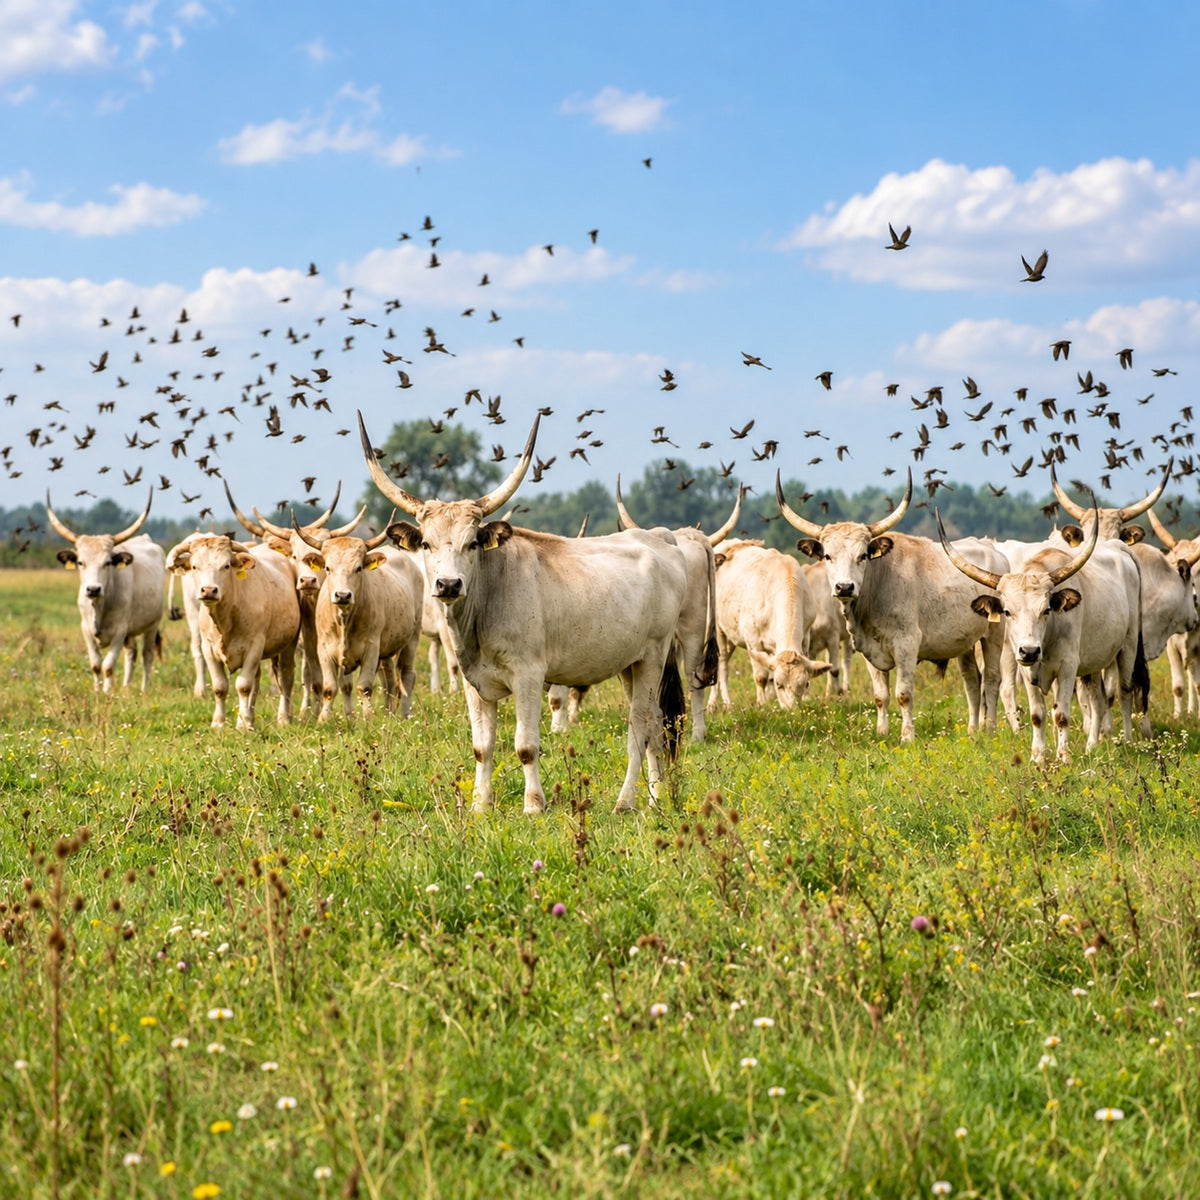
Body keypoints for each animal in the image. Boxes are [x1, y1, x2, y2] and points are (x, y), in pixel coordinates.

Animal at [46, 490, 165, 694]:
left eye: (108, 562)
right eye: (80, 562)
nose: (93, 588)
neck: (99, 606)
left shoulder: (119, 631)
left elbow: (108, 666)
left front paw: (107, 693)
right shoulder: (86, 629)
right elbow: (95, 665)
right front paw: (97, 692)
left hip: (152, 624)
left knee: (147, 655)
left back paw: (144, 690)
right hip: (131, 632)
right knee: (131, 653)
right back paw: (126, 687)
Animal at [166, 534, 300, 730]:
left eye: (226, 566)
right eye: (195, 566)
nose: (209, 590)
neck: (226, 619)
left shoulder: (254, 646)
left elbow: (243, 686)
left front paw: (242, 725)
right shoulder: (208, 649)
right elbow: (220, 687)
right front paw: (219, 722)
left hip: (289, 645)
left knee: (286, 678)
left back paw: (283, 718)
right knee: (256, 682)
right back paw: (249, 718)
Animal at [292, 522, 424, 721]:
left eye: (359, 568)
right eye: (328, 568)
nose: (342, 595)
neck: (344, 621)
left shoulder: (371, 648)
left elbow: (365, 687)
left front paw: (368, 717)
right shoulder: (323, 649)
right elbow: (329, 688)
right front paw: (324, 719)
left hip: (412, 639)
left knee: (407, 676)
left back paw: (405, 715)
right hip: (386, 651)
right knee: (389, 680)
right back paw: (389, 714)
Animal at [359, 411, 689, 814]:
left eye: (472, 543)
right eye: (425, 544)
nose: (449, 585)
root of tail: (659, 537)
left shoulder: (529, 675)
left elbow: (526, 746)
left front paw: (533, 805)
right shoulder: (474, 683)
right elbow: (482, 747)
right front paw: (480, 805)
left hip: (654, 655)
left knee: (639, 727)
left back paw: (625, 802)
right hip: (631, 662)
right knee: (656, 726)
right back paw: (656, 799)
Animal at [937, 508, 1149, 763]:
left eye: (1047, 610)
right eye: (1007, 612)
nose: (1029, 650)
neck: (1048, 638)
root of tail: (1120, 548)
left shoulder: (1068, 667)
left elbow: (1062, 714)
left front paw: (1063, 756)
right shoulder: (1028, 670)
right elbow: (1038, 714)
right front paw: (1038, 756)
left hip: (1128, 646)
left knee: (1124, 692)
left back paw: (1126, 740)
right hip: (1092, 662)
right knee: (1097, 700)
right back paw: (1092, 746)